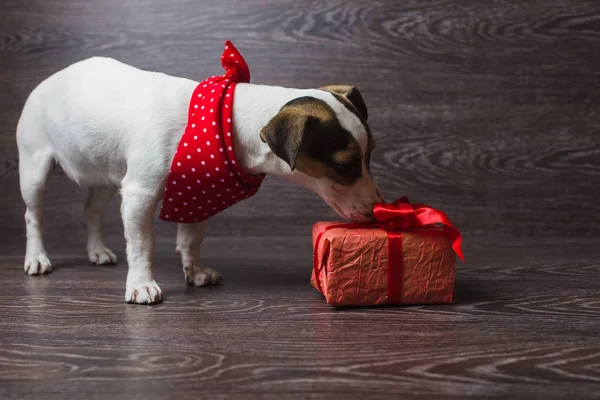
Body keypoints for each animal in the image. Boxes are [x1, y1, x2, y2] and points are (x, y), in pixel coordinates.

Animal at [16, 42, 382, 304]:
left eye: (369, 156)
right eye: (344, 166)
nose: (376, 211)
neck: (226, 123)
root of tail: (52, 78)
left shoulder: (196, 193)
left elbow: (192, 238)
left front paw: (195, 271)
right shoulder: (139, 194)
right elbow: (142, 244)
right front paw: (141, 284)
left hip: (105, 172)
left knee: (91, 208)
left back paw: (96, 250)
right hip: (34, 169)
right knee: (33, 216)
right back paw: (37, 258)